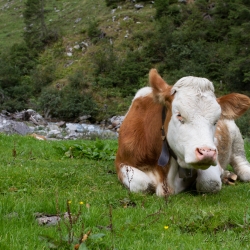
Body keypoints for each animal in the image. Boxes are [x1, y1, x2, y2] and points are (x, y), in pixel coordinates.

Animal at [114, 68, 250, 195]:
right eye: (179, 115)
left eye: (216, 120)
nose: (207, 153)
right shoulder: (121, 161)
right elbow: (145, 184)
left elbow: (210, 182)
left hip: (236, 137)